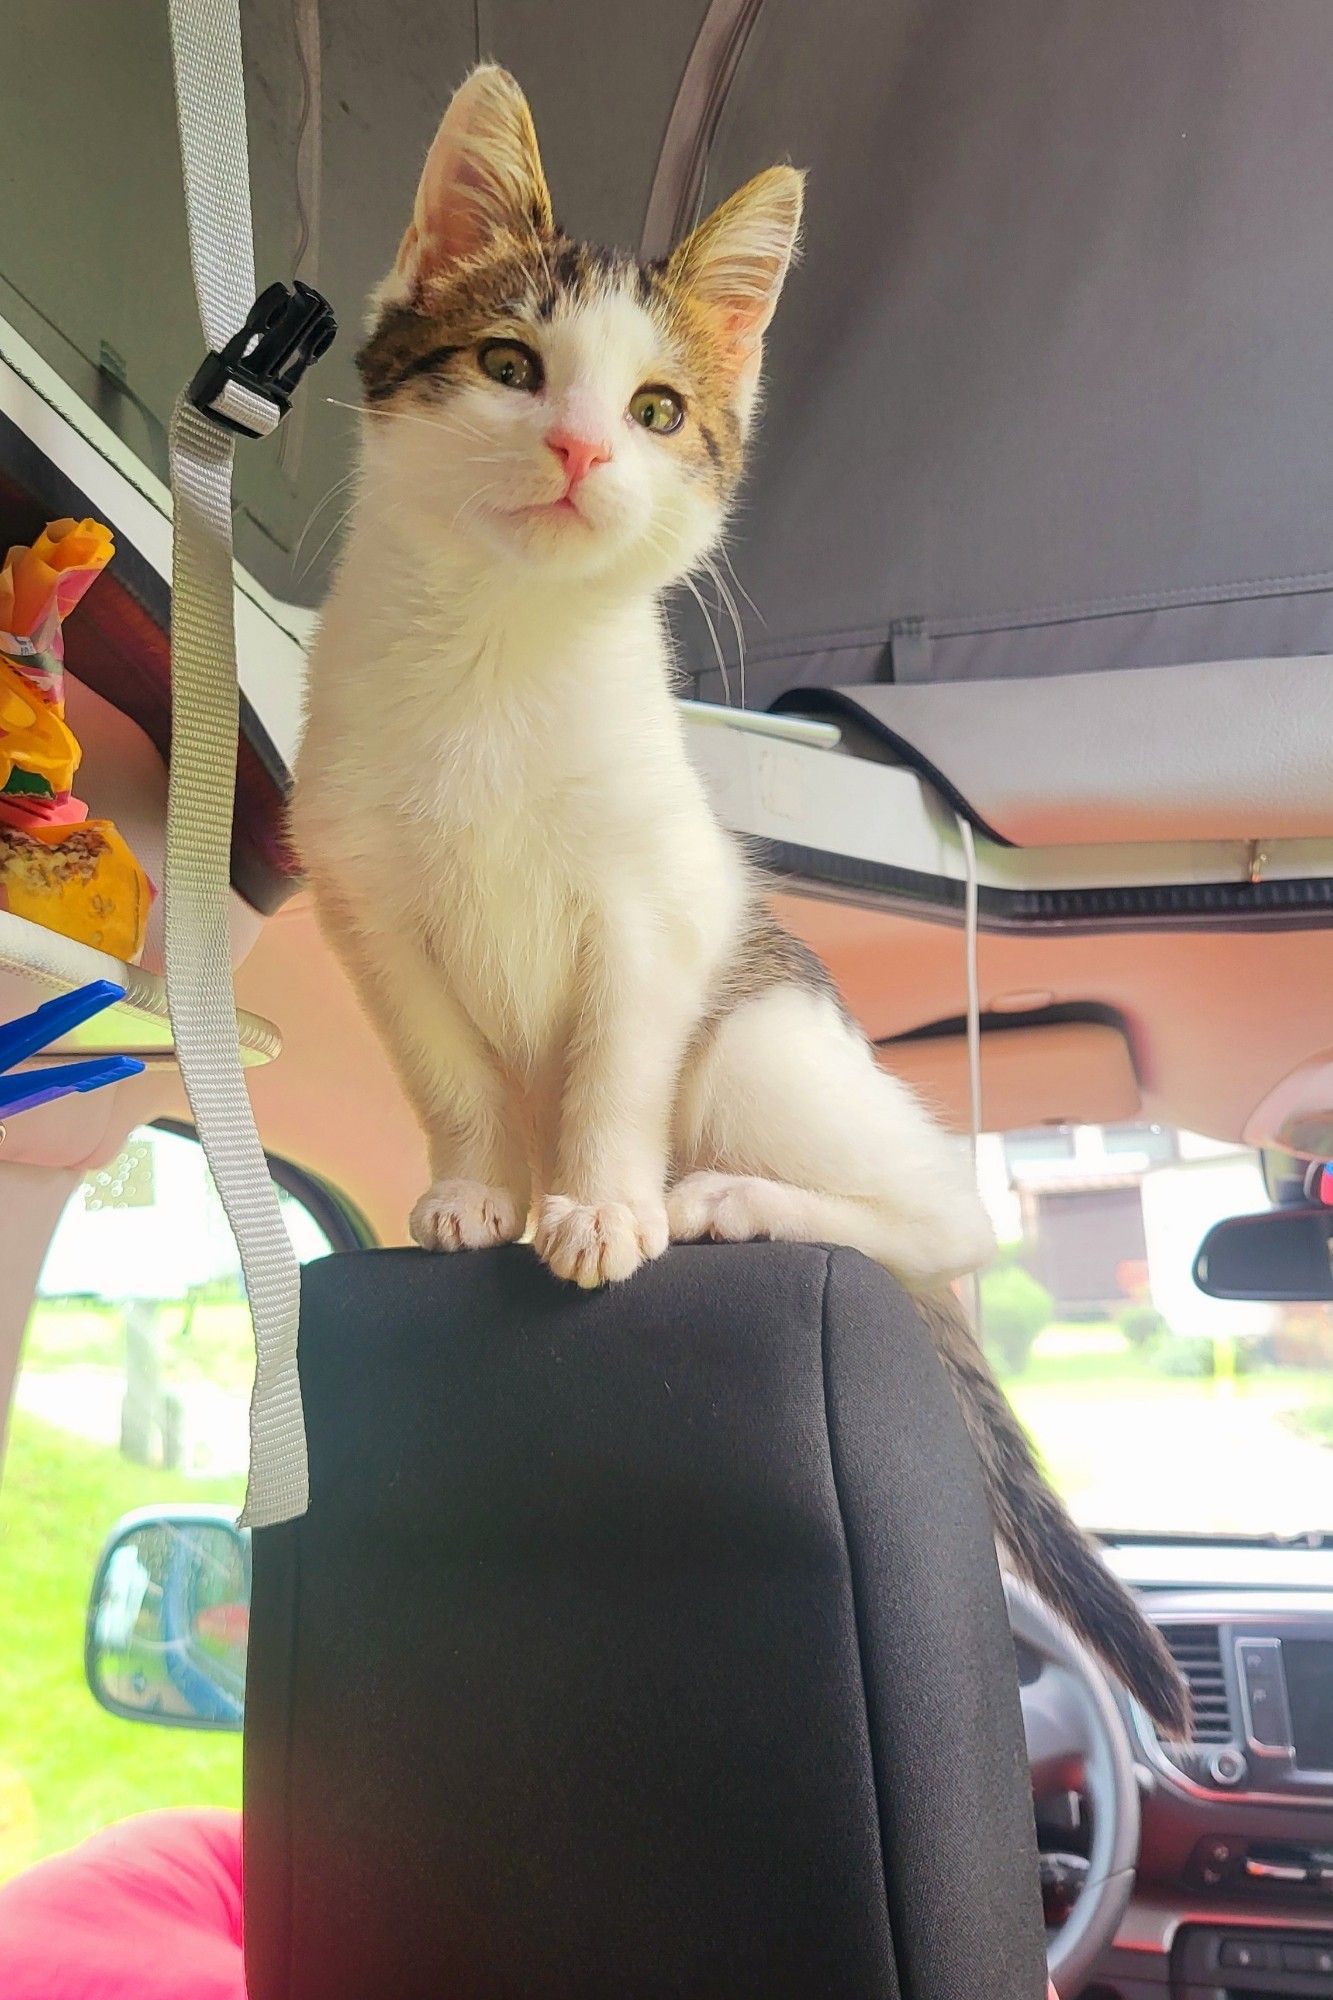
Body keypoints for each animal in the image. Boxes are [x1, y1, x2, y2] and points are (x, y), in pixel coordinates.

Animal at [290, 66, 1184, 1736]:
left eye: (653, 411)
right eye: (510, 367)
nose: (582, 453)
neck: (498, 656)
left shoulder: (651, 909)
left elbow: (614, 1060)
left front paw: (599, 1203)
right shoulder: (362, 896)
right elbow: (448, 1063)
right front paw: (472, 1188)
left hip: (761, 1033)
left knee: (945, 1216)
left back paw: (722, 1200)